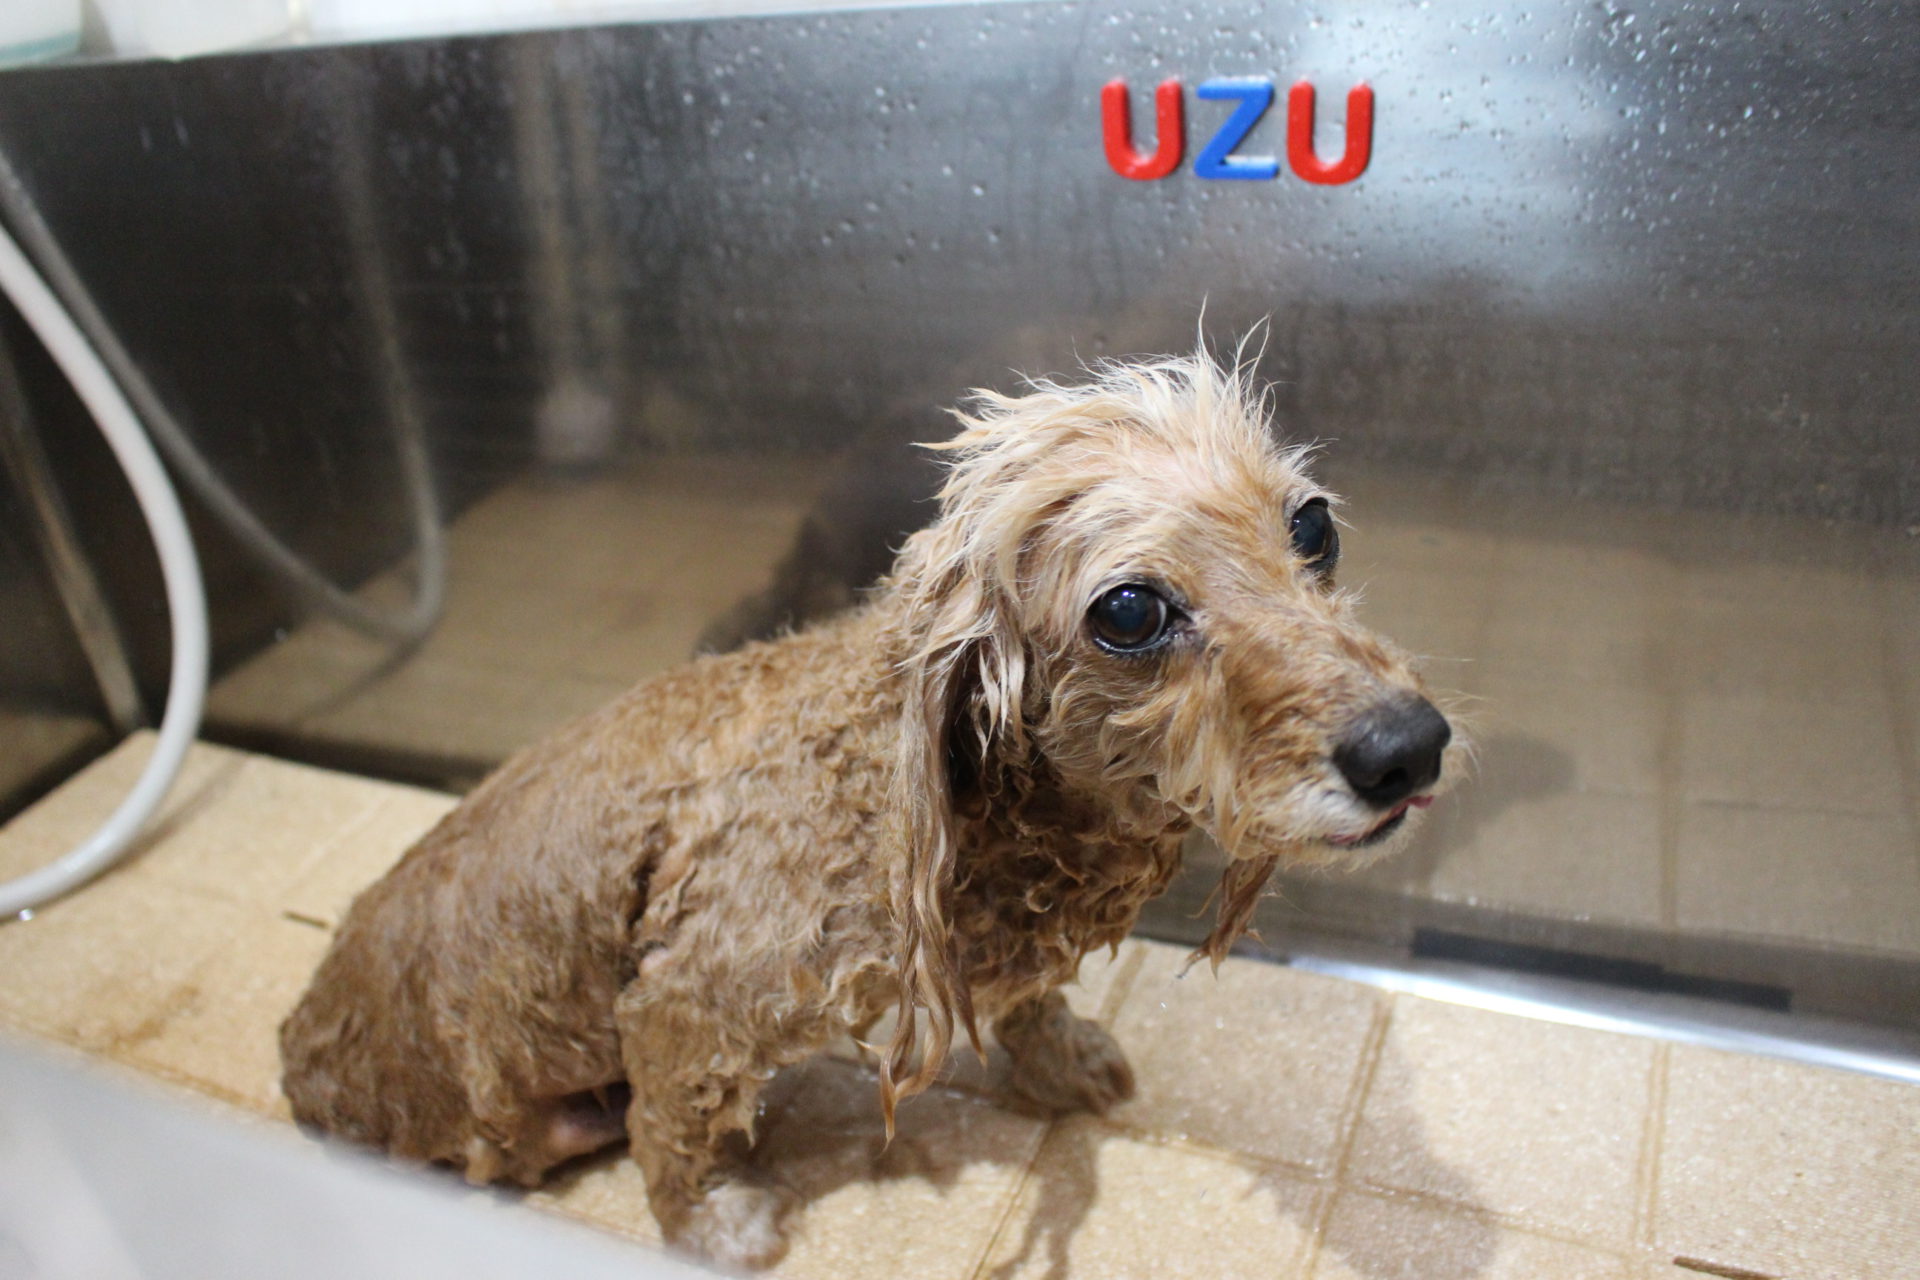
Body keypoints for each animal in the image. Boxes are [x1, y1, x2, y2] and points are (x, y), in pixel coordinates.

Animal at [279, 351, 1457, 1268]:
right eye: (1130, 611)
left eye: (1313, 527)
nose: (1406, 746)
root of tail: (301, 1062)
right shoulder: (689, 1002)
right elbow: (674, 1125)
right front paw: (711, 1226)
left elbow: (1032, 998)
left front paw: (1064, 1056)